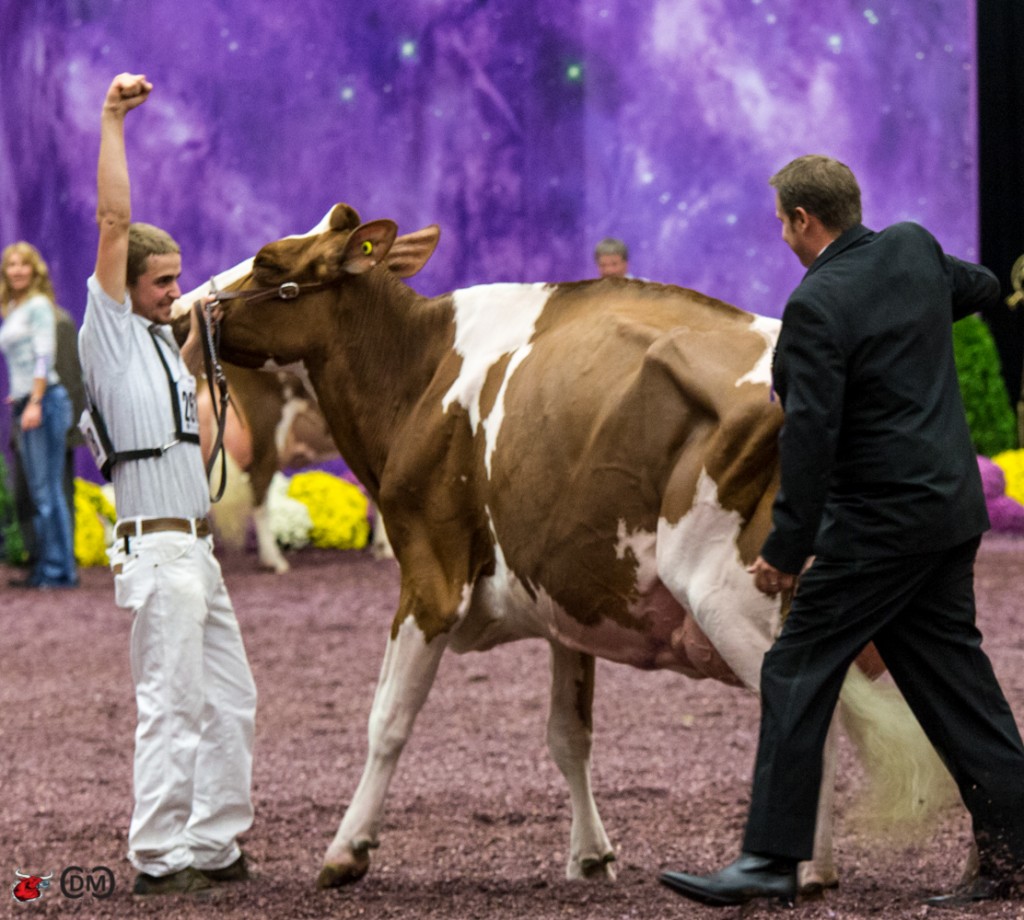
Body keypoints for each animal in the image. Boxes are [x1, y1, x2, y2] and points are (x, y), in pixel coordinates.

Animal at [203, 205, 946, 889]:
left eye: (268, 263)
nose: (191, 308)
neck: (419, 373)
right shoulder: (565, 596)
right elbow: (569, 735)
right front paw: (590, 855)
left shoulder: (432, 575)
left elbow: (387, 718)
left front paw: (346, 850)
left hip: (730, 595)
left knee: (806, 716)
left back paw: (798, 868)